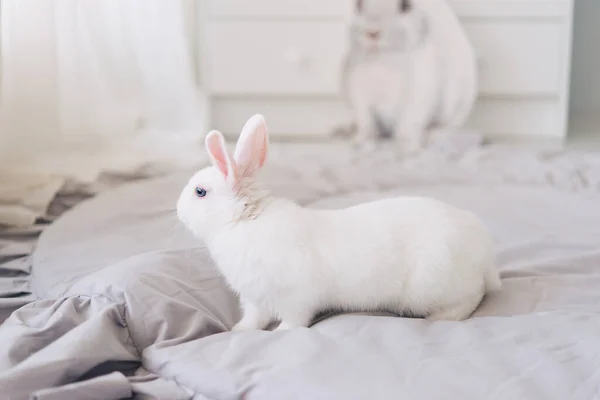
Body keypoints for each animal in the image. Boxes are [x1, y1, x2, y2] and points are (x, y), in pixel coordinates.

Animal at [177, 114, 502, 330]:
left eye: (200, 192)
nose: (178, 210)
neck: (245, 220)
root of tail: (485, 254)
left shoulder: (295, 297)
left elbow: (294, 322)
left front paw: (280, 333)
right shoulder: (256, 300)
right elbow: (253, 320)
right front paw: (238, 331)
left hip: (433, 288)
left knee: (470, 299)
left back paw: (440, 318)